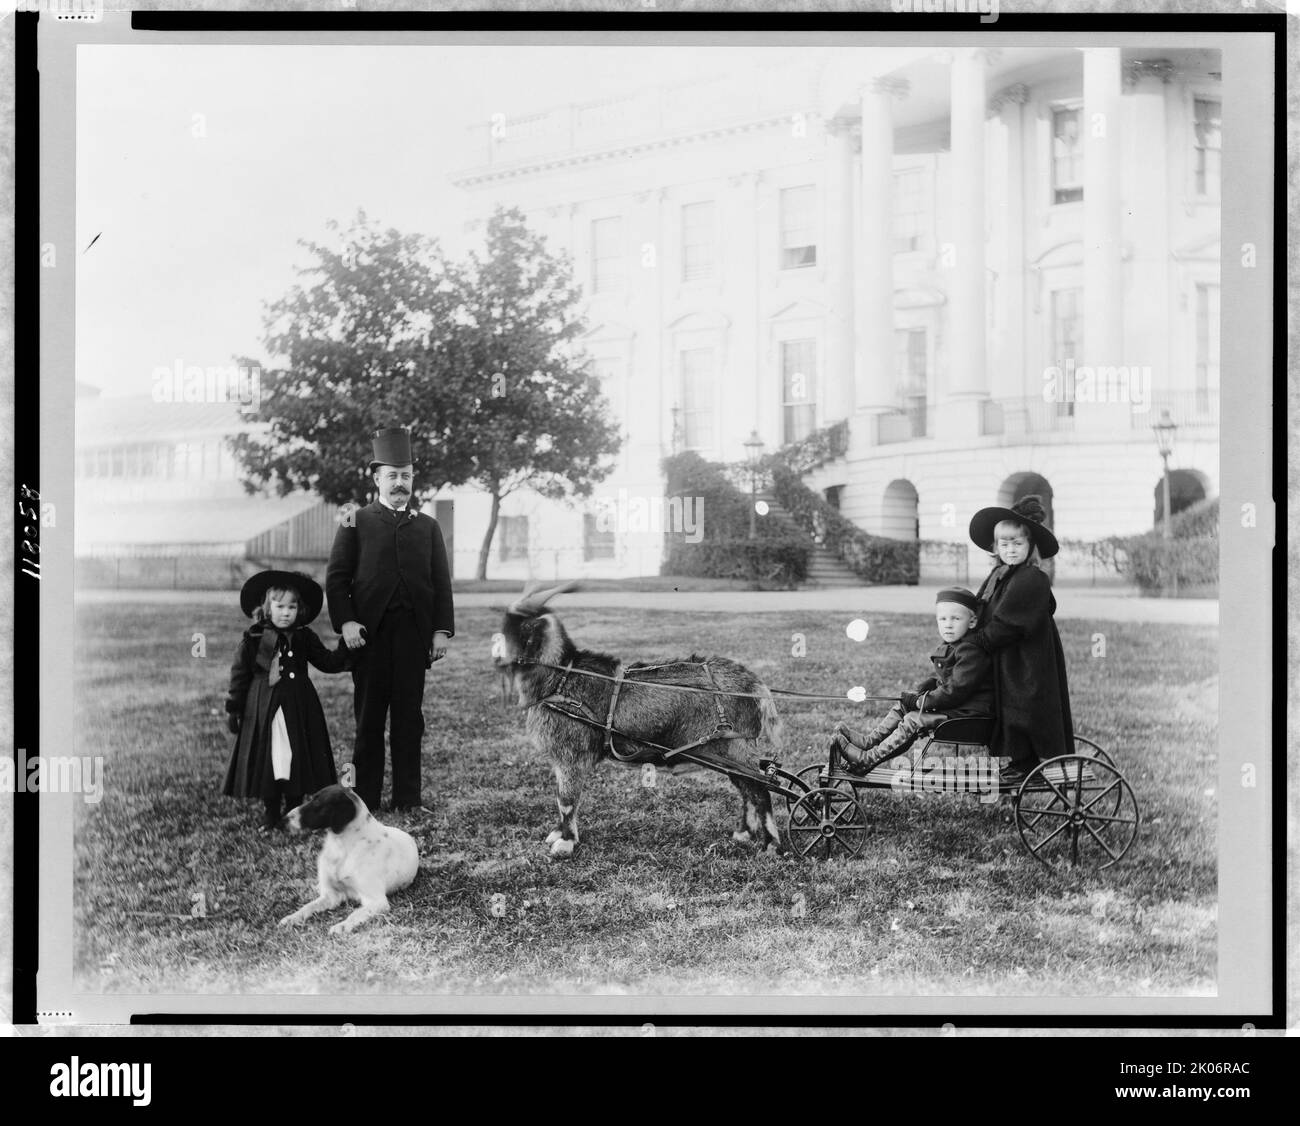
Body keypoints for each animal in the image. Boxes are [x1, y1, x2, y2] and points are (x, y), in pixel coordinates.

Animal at [276, 780, 418, 930]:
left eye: (318, 803)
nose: (283, 821)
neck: (342, 847)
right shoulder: (331, 895)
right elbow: (308, 906)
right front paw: (292, 917)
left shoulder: (376, 901)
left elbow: (354, 915)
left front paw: (341, 926)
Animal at [493, 582, 780, 858]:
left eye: (512, 627)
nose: (496, 657)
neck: (560, 679)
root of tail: (755, 685)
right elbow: (560, 798)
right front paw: (557, 834)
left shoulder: (571, 755)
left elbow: (566, 800)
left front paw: (565, 843)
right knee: (747, 790)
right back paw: (743, 833)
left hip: (735, 747)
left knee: (760, 791)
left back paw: (771, 846)